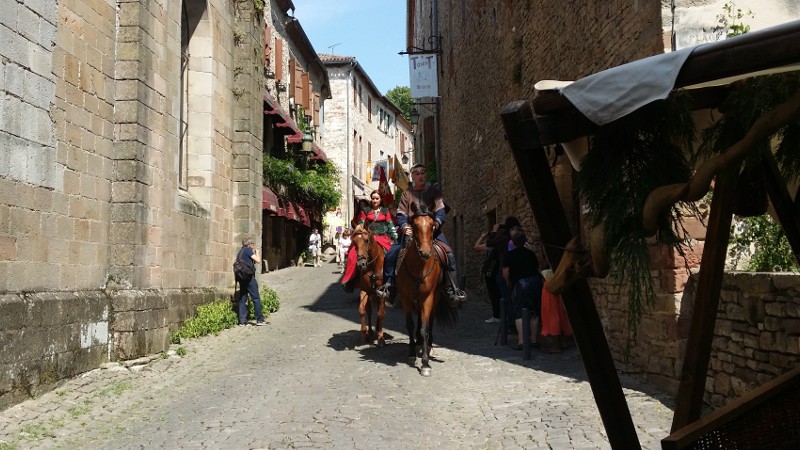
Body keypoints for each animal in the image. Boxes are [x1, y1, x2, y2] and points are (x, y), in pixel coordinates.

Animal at [394, 203, 456, 376]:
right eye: (414, 226)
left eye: (432, 225)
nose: (425, 252)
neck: (419, 268)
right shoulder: (406, 298)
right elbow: (410, 325)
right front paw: (411, 354)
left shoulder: (428, 298)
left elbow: (424, 328)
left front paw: (425, 363)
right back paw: (418, 345)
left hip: (434, 298)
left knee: (430, 321)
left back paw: (427, 346)